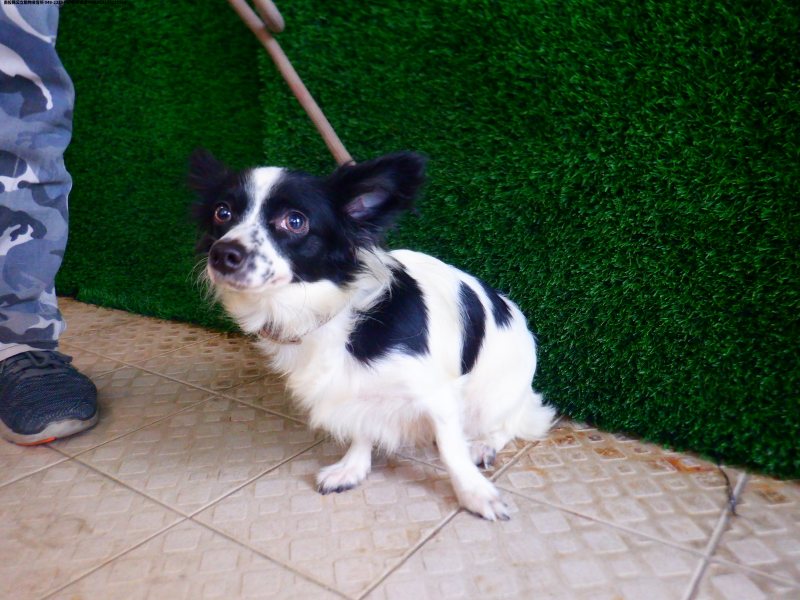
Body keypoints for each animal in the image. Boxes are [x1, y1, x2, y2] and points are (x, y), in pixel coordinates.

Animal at [188, 150, 555, 520]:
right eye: (222, 213)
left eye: (294, 221)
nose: (222, 254)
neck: (330, 313)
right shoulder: (351, 387)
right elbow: (361, 425)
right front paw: (353, 467)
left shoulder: (438, 394)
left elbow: (451, 450)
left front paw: (475, 494)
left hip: (492, 398)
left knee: (513, 422)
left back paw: (484, 445)